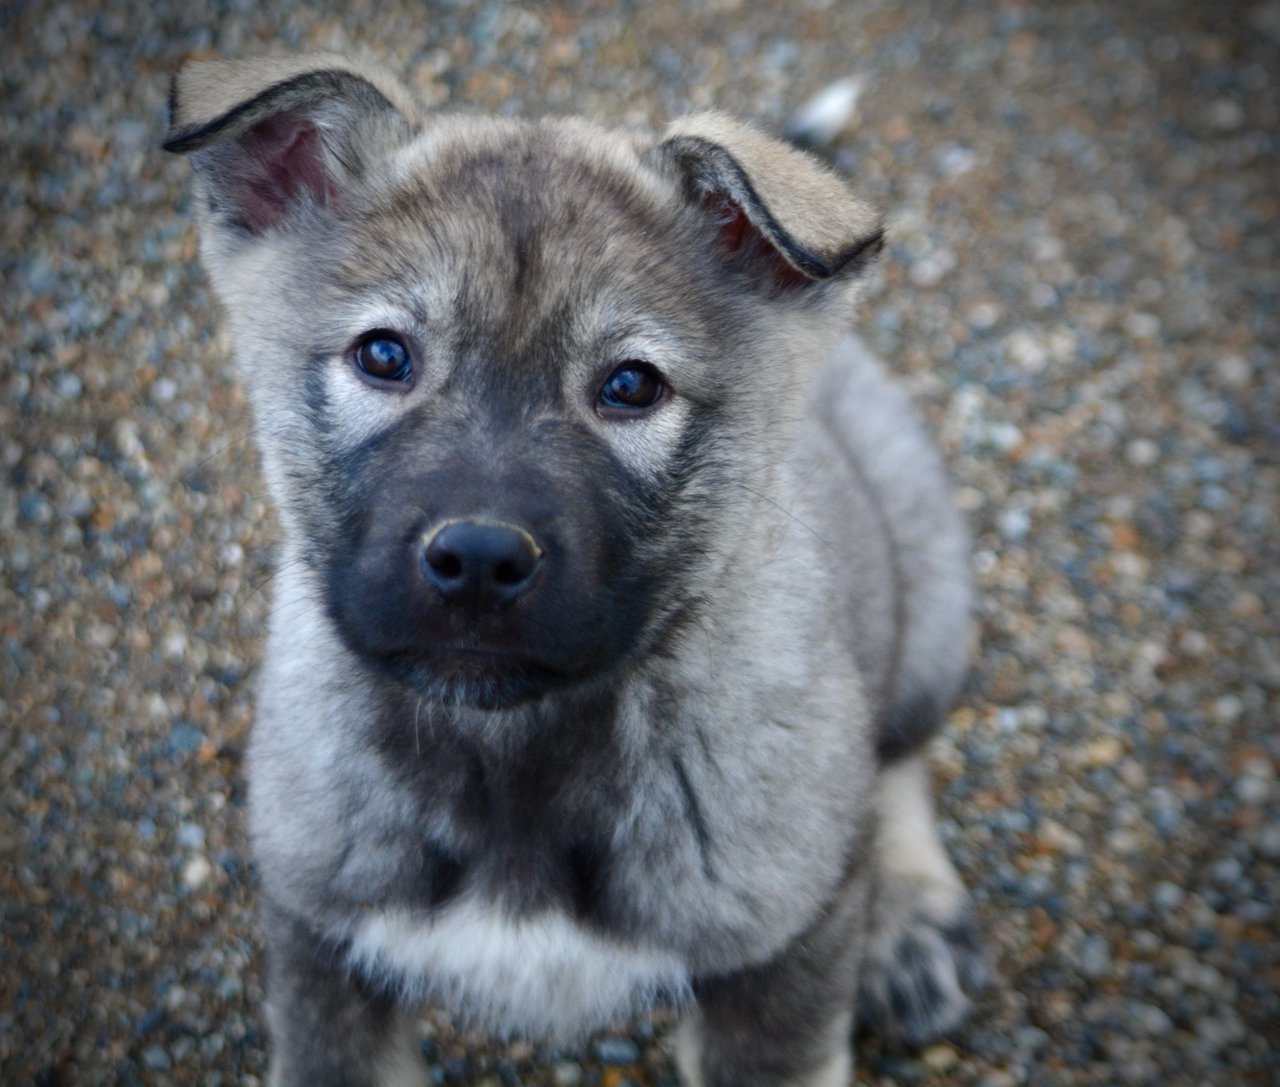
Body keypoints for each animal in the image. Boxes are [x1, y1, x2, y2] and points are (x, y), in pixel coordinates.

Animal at [165, 55, 983, 1085]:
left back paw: (909, 921)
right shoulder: (323, 957)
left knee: (901, 756)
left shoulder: (779, 966)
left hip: (929, 593)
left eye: (631, 385)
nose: (478, 560)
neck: (513, 760)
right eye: (383, 355)